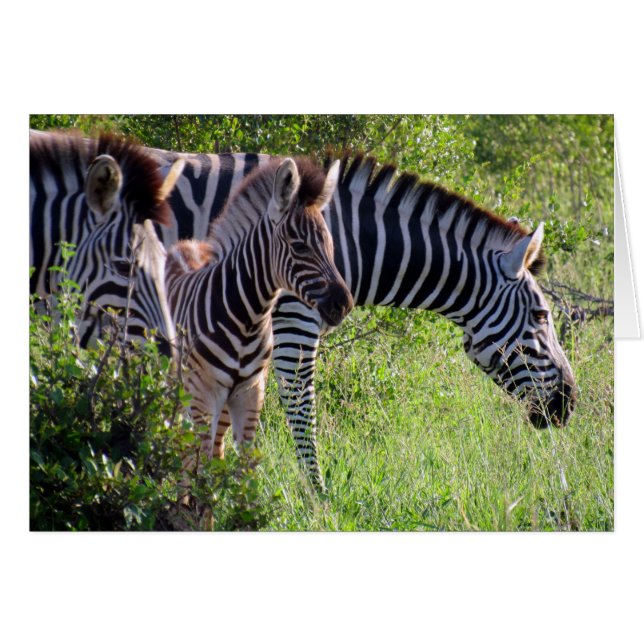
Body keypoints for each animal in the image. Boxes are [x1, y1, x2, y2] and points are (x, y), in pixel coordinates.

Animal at [136, 157, 353, 464]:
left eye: (331, 244)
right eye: (300, 247)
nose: (344, 304)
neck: (248, 318)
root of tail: (182, 245)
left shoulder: (249, 394)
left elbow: (241, 464)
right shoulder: (203, 394)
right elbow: (198, 463)